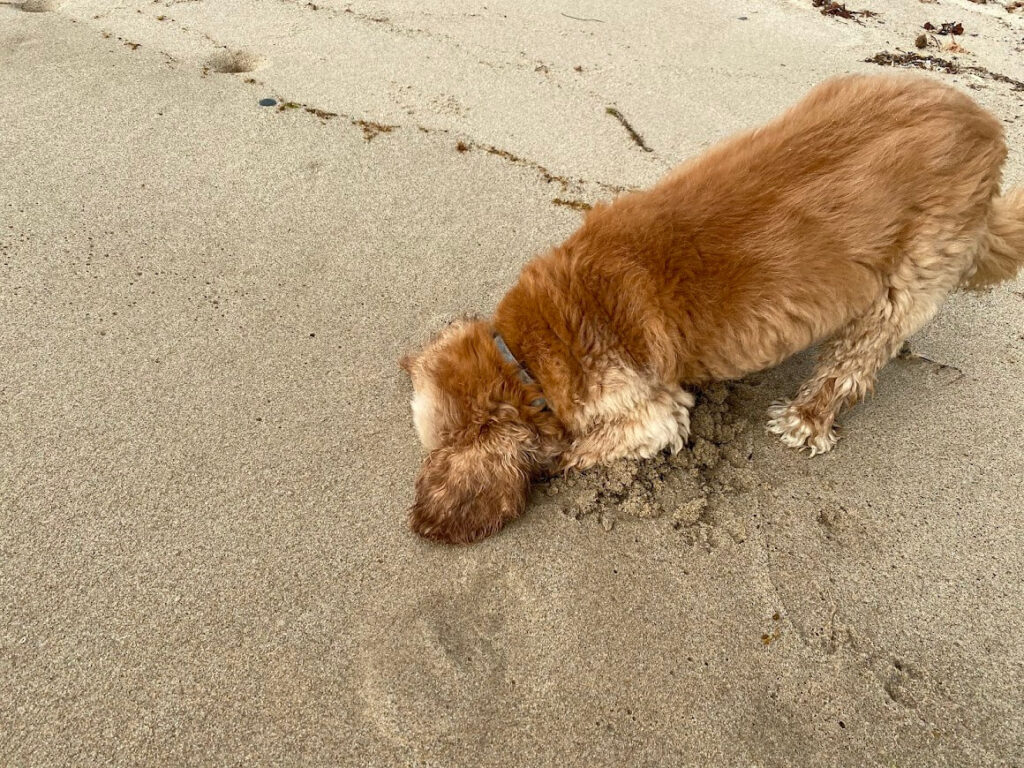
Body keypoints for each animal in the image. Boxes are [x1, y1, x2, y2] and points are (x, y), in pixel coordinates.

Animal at [399, 70, 1024, 540]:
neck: (527, 352)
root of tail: (985, 126)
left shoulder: (651, 413)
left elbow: (581, 448)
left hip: (910, 278)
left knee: (856, 361)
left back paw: (807, 418)